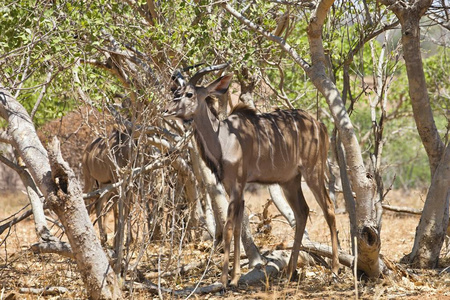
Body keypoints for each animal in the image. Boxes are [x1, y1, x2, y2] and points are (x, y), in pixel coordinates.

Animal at [164, 65, 338, 286]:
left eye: (189, 94)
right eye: (175, 92)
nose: (166, 110)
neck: (224, 138)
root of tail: (320, 125)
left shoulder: (237, 185)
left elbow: (229, 227)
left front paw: (223, 280)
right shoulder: (233, 187)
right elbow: (239, 227)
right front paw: (235, 277)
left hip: (313, 171)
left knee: (329, 209)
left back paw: (334, 271)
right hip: (290, 181)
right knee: (302, 212)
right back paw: (290, 272)